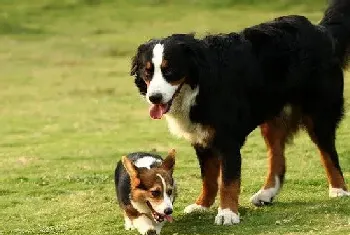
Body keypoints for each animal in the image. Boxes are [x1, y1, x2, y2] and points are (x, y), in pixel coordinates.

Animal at [129, 0, 350, 226]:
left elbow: (228, 180)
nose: (154, 97)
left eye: (170, 71)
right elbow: (208, 178)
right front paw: (202, 205)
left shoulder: (227, 139)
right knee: (277, 156)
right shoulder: (201, 137)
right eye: (148, 72)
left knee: (328, 152)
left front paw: (227, 213)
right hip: (272, 119)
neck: (199, 84)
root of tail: (320, 30)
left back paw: (338, 189)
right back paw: (266, 193)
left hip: (319, 113)